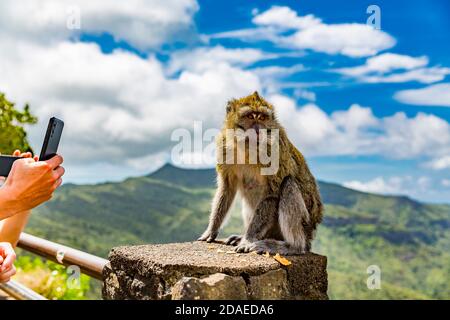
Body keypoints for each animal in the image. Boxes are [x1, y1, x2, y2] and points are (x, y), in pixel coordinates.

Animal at [199, 90, 322, 255]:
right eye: (251, 116)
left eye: (262, 118)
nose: (258, 130)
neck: (247, 148)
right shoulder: (223, 146)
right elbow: (227, 188)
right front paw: (211, 230)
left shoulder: (274, 150)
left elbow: (272, 194)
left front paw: (248, 240)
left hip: (305, 226)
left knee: (288, 184)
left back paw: (292, 246)